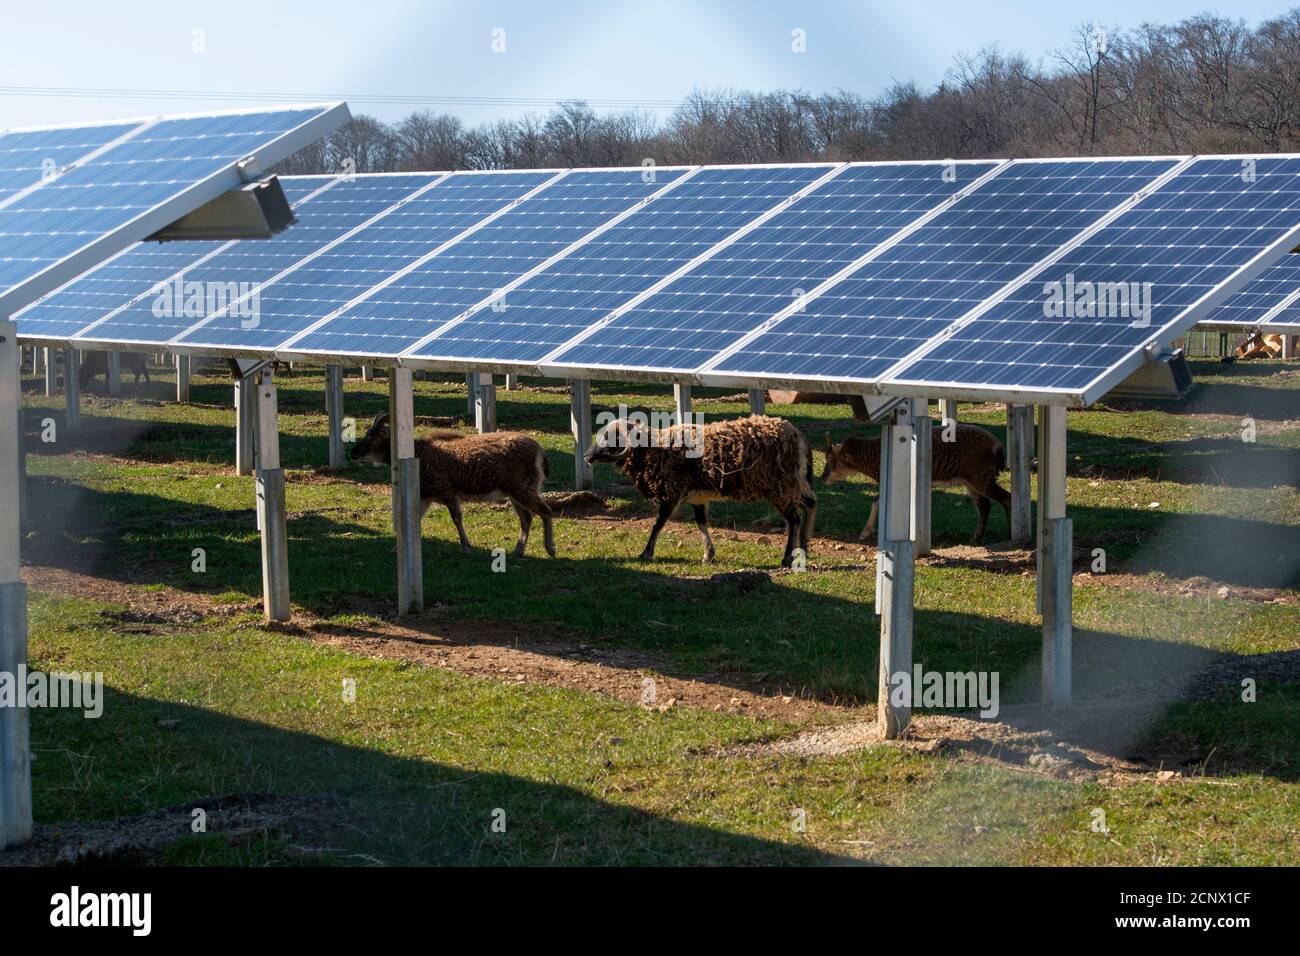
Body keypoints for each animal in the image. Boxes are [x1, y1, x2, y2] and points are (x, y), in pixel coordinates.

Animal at [353, 413, 556, 561]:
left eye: (372, 436)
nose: (352, 453)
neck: (420, 455)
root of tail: (540, 452)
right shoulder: (425, 496)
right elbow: (414, 519)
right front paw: (396, 549)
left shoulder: (447, 491)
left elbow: (456, 518)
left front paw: (466, 546)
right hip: (515, 492)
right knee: (527, 518)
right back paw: (518, 550)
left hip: (523, 489)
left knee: (546, 511)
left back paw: (550, 548)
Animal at [587, 413, 816, 564]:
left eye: (611, 437)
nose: (587, 456)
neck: (654, 450)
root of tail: (798, 436)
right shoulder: (697, 498)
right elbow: (701, 523)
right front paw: (708, 555)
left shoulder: (671, 493)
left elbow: (658, 523)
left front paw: (646, 553)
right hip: (793, 483)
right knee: (811, 504)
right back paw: (803, 547)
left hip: (782, 486)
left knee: (794, 518)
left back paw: (787, 558)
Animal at [816, 426, 1008, 546]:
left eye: (831, 459)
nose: (823, 478)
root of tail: (998, 447)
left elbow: (877, 501)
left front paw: (865, 532)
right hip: (971, 481)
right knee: (985, 506)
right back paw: (975, 540)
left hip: (981, 478)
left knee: (1006, 498)